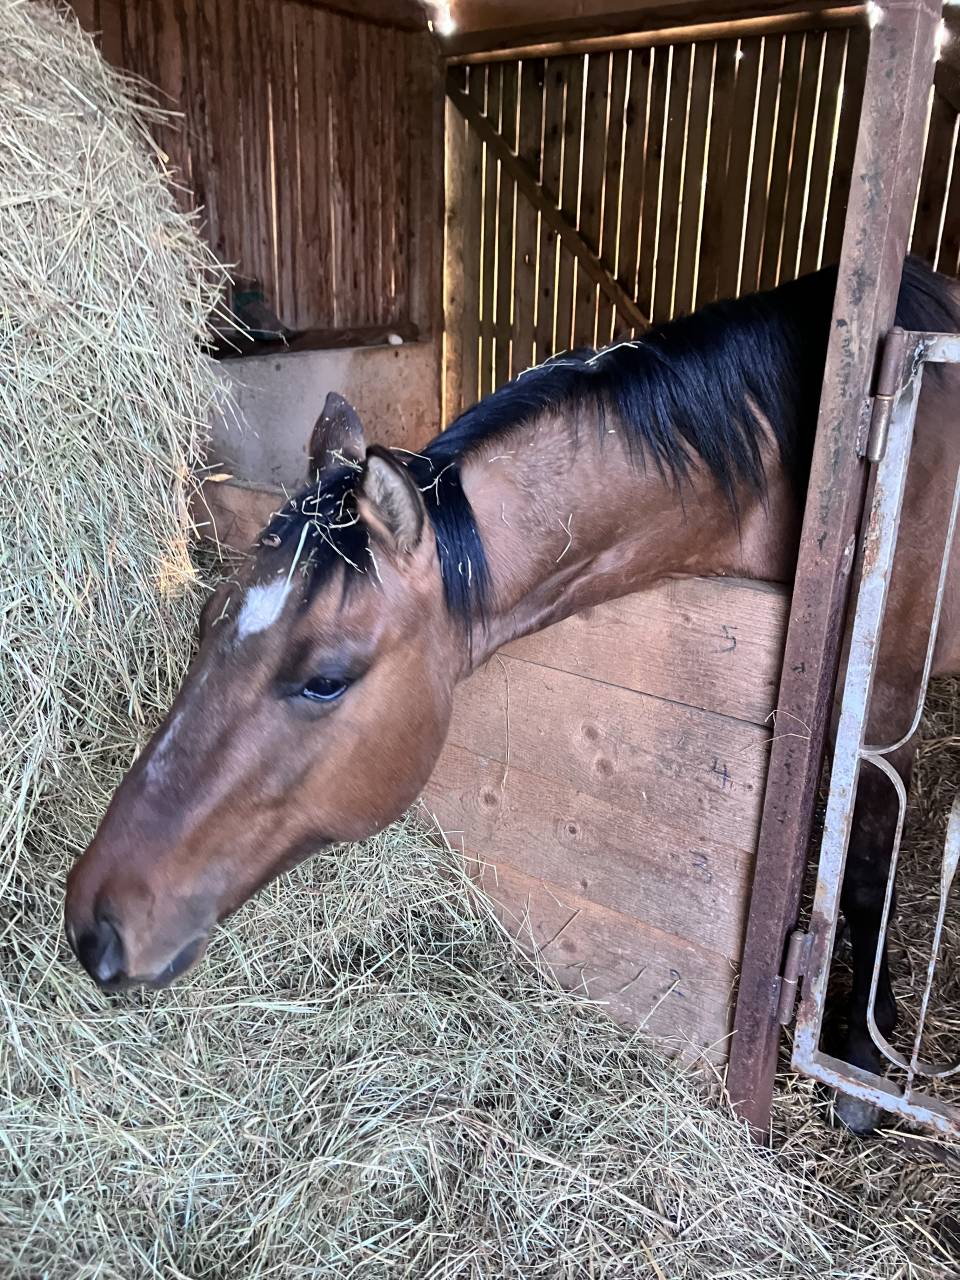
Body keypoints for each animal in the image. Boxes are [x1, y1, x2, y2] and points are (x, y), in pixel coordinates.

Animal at [65, 256, 960, 1133]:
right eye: (206, 619)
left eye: (325, 679)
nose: (93, 926)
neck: (817, 477)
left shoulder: (884, 696)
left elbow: (867, 863)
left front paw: (861, 1056)